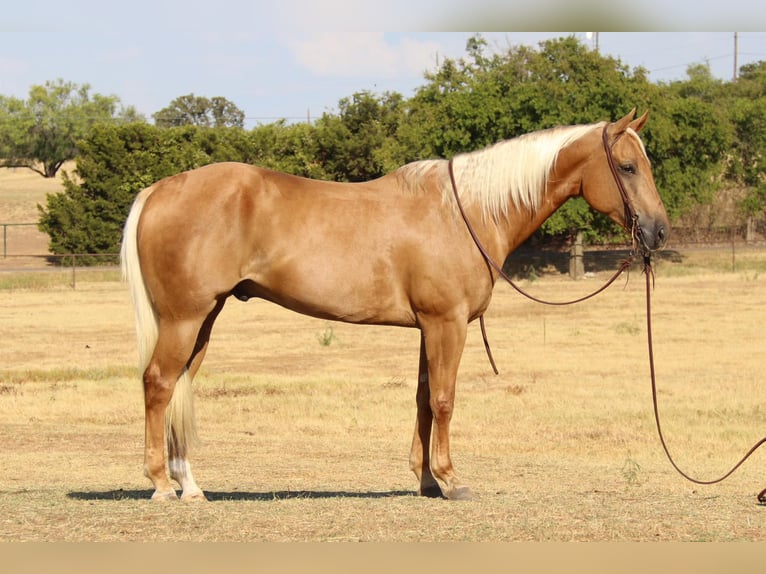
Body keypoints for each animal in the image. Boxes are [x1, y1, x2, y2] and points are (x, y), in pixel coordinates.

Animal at [121, 110, 672, 502]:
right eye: (627, 167)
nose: (658, 231)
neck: (465, 213)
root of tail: (160, 190)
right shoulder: (448, 324)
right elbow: (446, 399)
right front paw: (451, 480)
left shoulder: (429, 327)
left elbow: (424, 399)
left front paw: (426, 480)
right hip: (184, 319)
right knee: (159, 384)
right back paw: (162, 484)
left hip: (203, 320)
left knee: (180, 387)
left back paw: (190, 485)